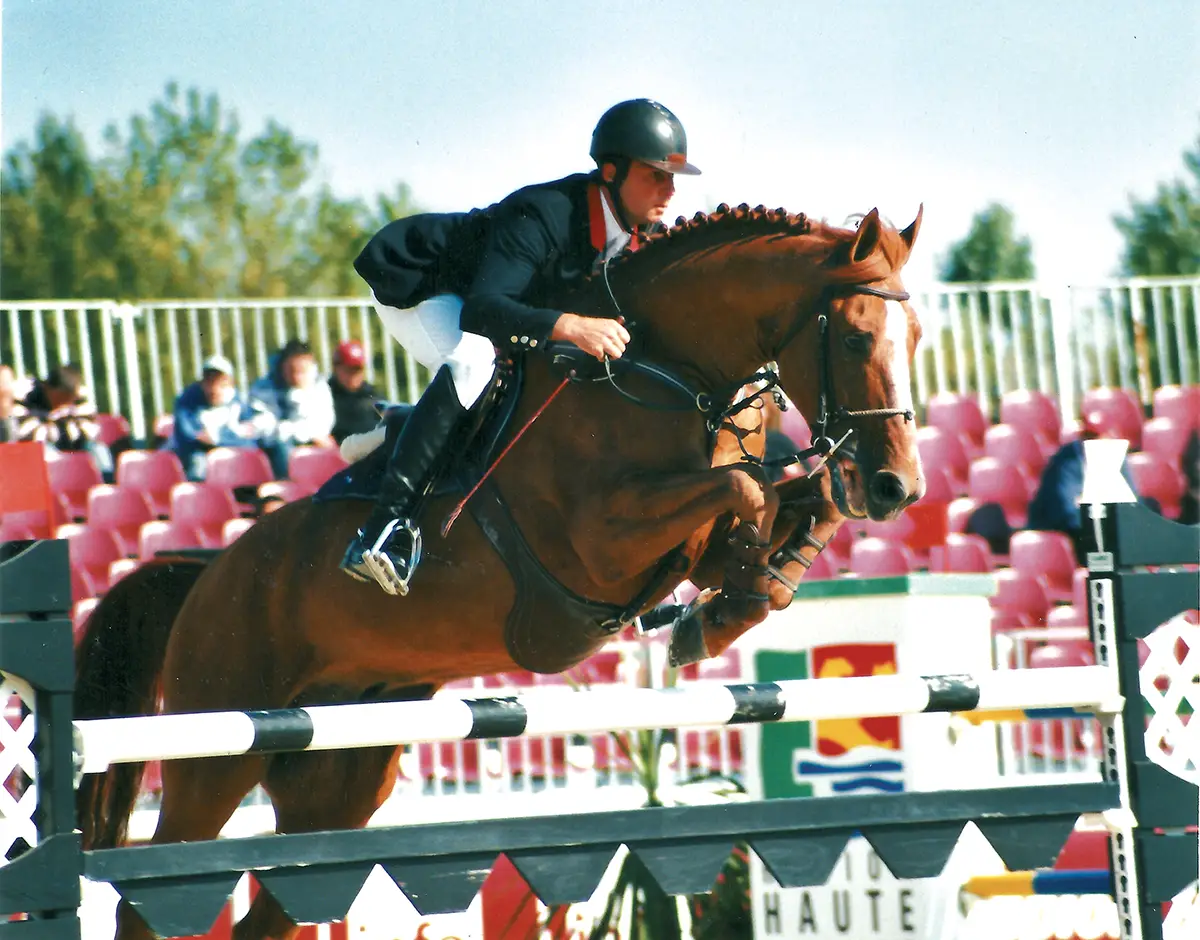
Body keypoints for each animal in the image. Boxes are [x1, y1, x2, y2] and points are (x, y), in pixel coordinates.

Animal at [75, 202, 925, 940]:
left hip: (339, 778)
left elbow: (798, 501)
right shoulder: (598, 544)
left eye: (915, 337)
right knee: (149, 900)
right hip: (216, 753)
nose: (899, 488)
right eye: (856, 340)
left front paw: (732, 603)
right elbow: (745, 492)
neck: (669, 373)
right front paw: (724, 598)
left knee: (279, 907)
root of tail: (205, 571)